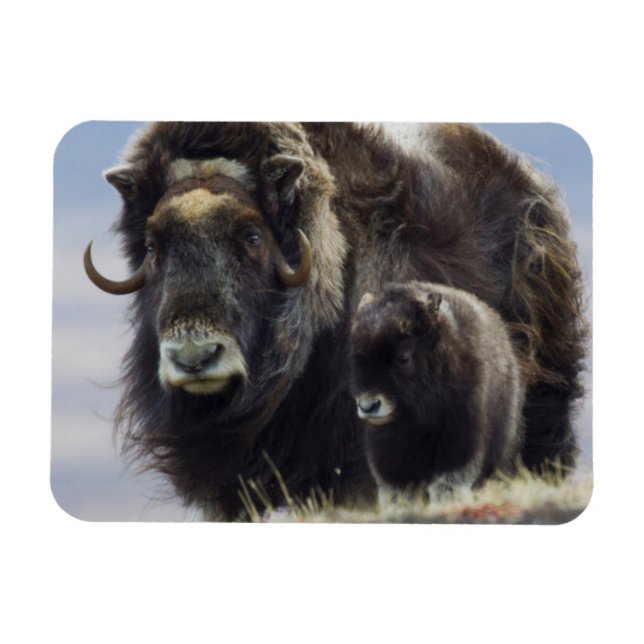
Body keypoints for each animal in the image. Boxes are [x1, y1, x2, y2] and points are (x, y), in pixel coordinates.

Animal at [349, 281, 525, 503]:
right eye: (356, 355)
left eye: (404, 357)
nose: (368, 405)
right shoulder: (389, 454)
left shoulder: (460, 441)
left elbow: (447, 482)